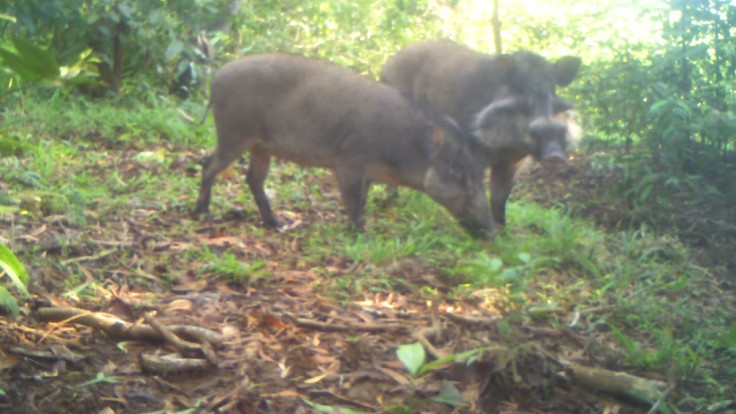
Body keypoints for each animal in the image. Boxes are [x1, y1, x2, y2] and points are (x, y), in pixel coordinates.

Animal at [196, 53, 494, 238]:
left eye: (480, 176)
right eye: (459, 173)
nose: (492, 232)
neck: (405, 145)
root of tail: (216, 77)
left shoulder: (367, 172)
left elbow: (361, 199)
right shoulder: (350, 161)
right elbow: (352, 200)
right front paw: (362, 235)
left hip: (261, 146)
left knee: (253, 178)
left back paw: (278, 224)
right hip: (233, 133)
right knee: (209, 165)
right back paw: (202, 213)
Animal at [380, 40, 580, 225]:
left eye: (552, 90)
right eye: (520, 91)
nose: (555, 156)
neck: (508, 148)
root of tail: (388, 63)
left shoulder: (512, 163)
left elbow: (501, 198)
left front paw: (503, 231)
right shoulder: (474, 154)